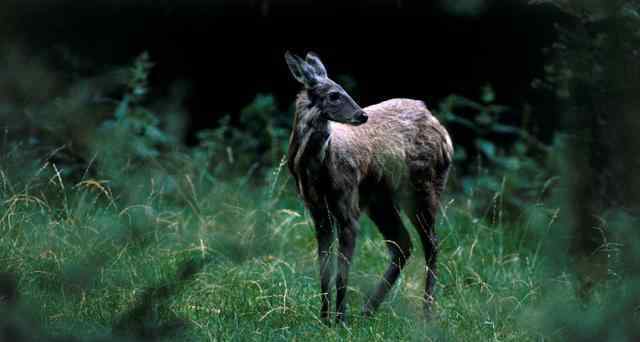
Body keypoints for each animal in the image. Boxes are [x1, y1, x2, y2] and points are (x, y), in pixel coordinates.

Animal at [284, 50, 456, 324]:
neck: (317, 169)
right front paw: (324, 318)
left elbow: (342, 272)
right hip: (380, 199)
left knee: (431, 243)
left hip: (422, 187)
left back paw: (427, 313)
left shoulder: (348, 206)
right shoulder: (317, 210)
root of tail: (441, 130)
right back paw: (368, 310)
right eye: (334, 94)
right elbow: (324, 269)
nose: (362, 115)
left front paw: (339, 320)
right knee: (403, 244)